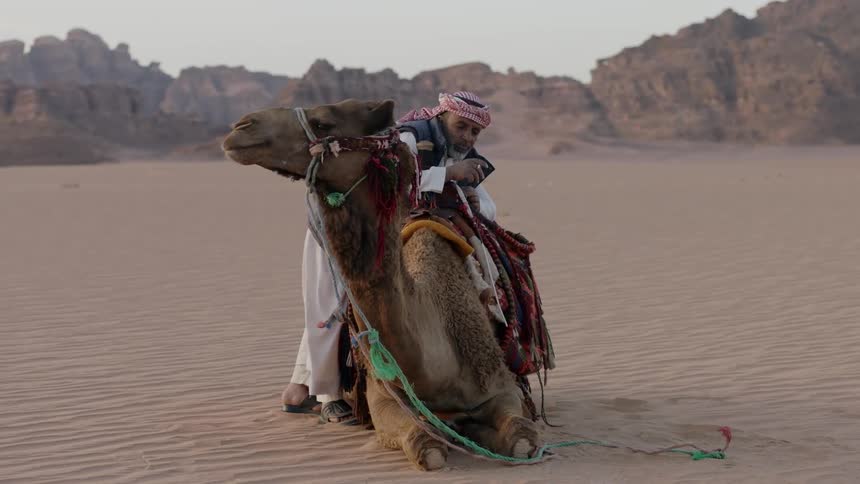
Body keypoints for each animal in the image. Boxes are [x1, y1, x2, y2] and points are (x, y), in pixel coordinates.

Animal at [221, 99, 540, 470]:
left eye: (323, 122)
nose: (241, 127)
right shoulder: (385, 400)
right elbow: (425, 446)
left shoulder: (501, 387)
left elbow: (521, 438)